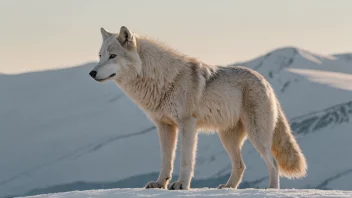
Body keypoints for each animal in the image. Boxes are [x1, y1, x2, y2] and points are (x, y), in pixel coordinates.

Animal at [89, 25, 306, 190]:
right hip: (227, 138)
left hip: (256, 136)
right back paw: (228, 188)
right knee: (241, 166)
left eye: (113, 56)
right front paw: (160, 184)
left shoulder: (187, 125)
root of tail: (266, 81)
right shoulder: (164, 127)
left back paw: (271, 189)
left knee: (274, 163)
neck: (163, 79)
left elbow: (186, 160)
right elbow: (166, 160)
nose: (92, 73)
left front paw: (181, 185)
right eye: (100, 56)